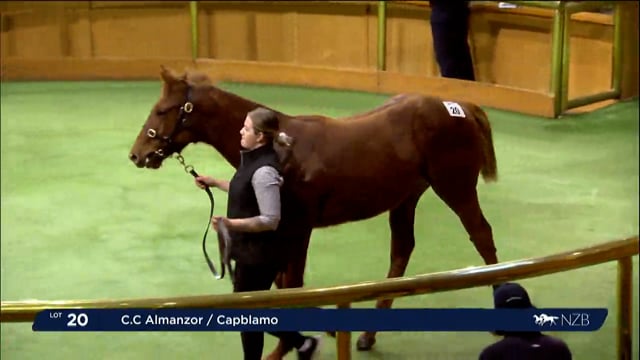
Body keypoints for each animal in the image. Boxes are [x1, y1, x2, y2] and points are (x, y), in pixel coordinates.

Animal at [129, 67, 500, 358]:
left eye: (162, 110)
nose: (137, 154)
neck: (283, 149)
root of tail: (463, 108)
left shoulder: (299, 227)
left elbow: (291, 285)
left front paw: (287, 349)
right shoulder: (284, 231)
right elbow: (283, 284)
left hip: (455, 188)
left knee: (482, 236)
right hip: (406, 198)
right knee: (402, 251)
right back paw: (368, 335)